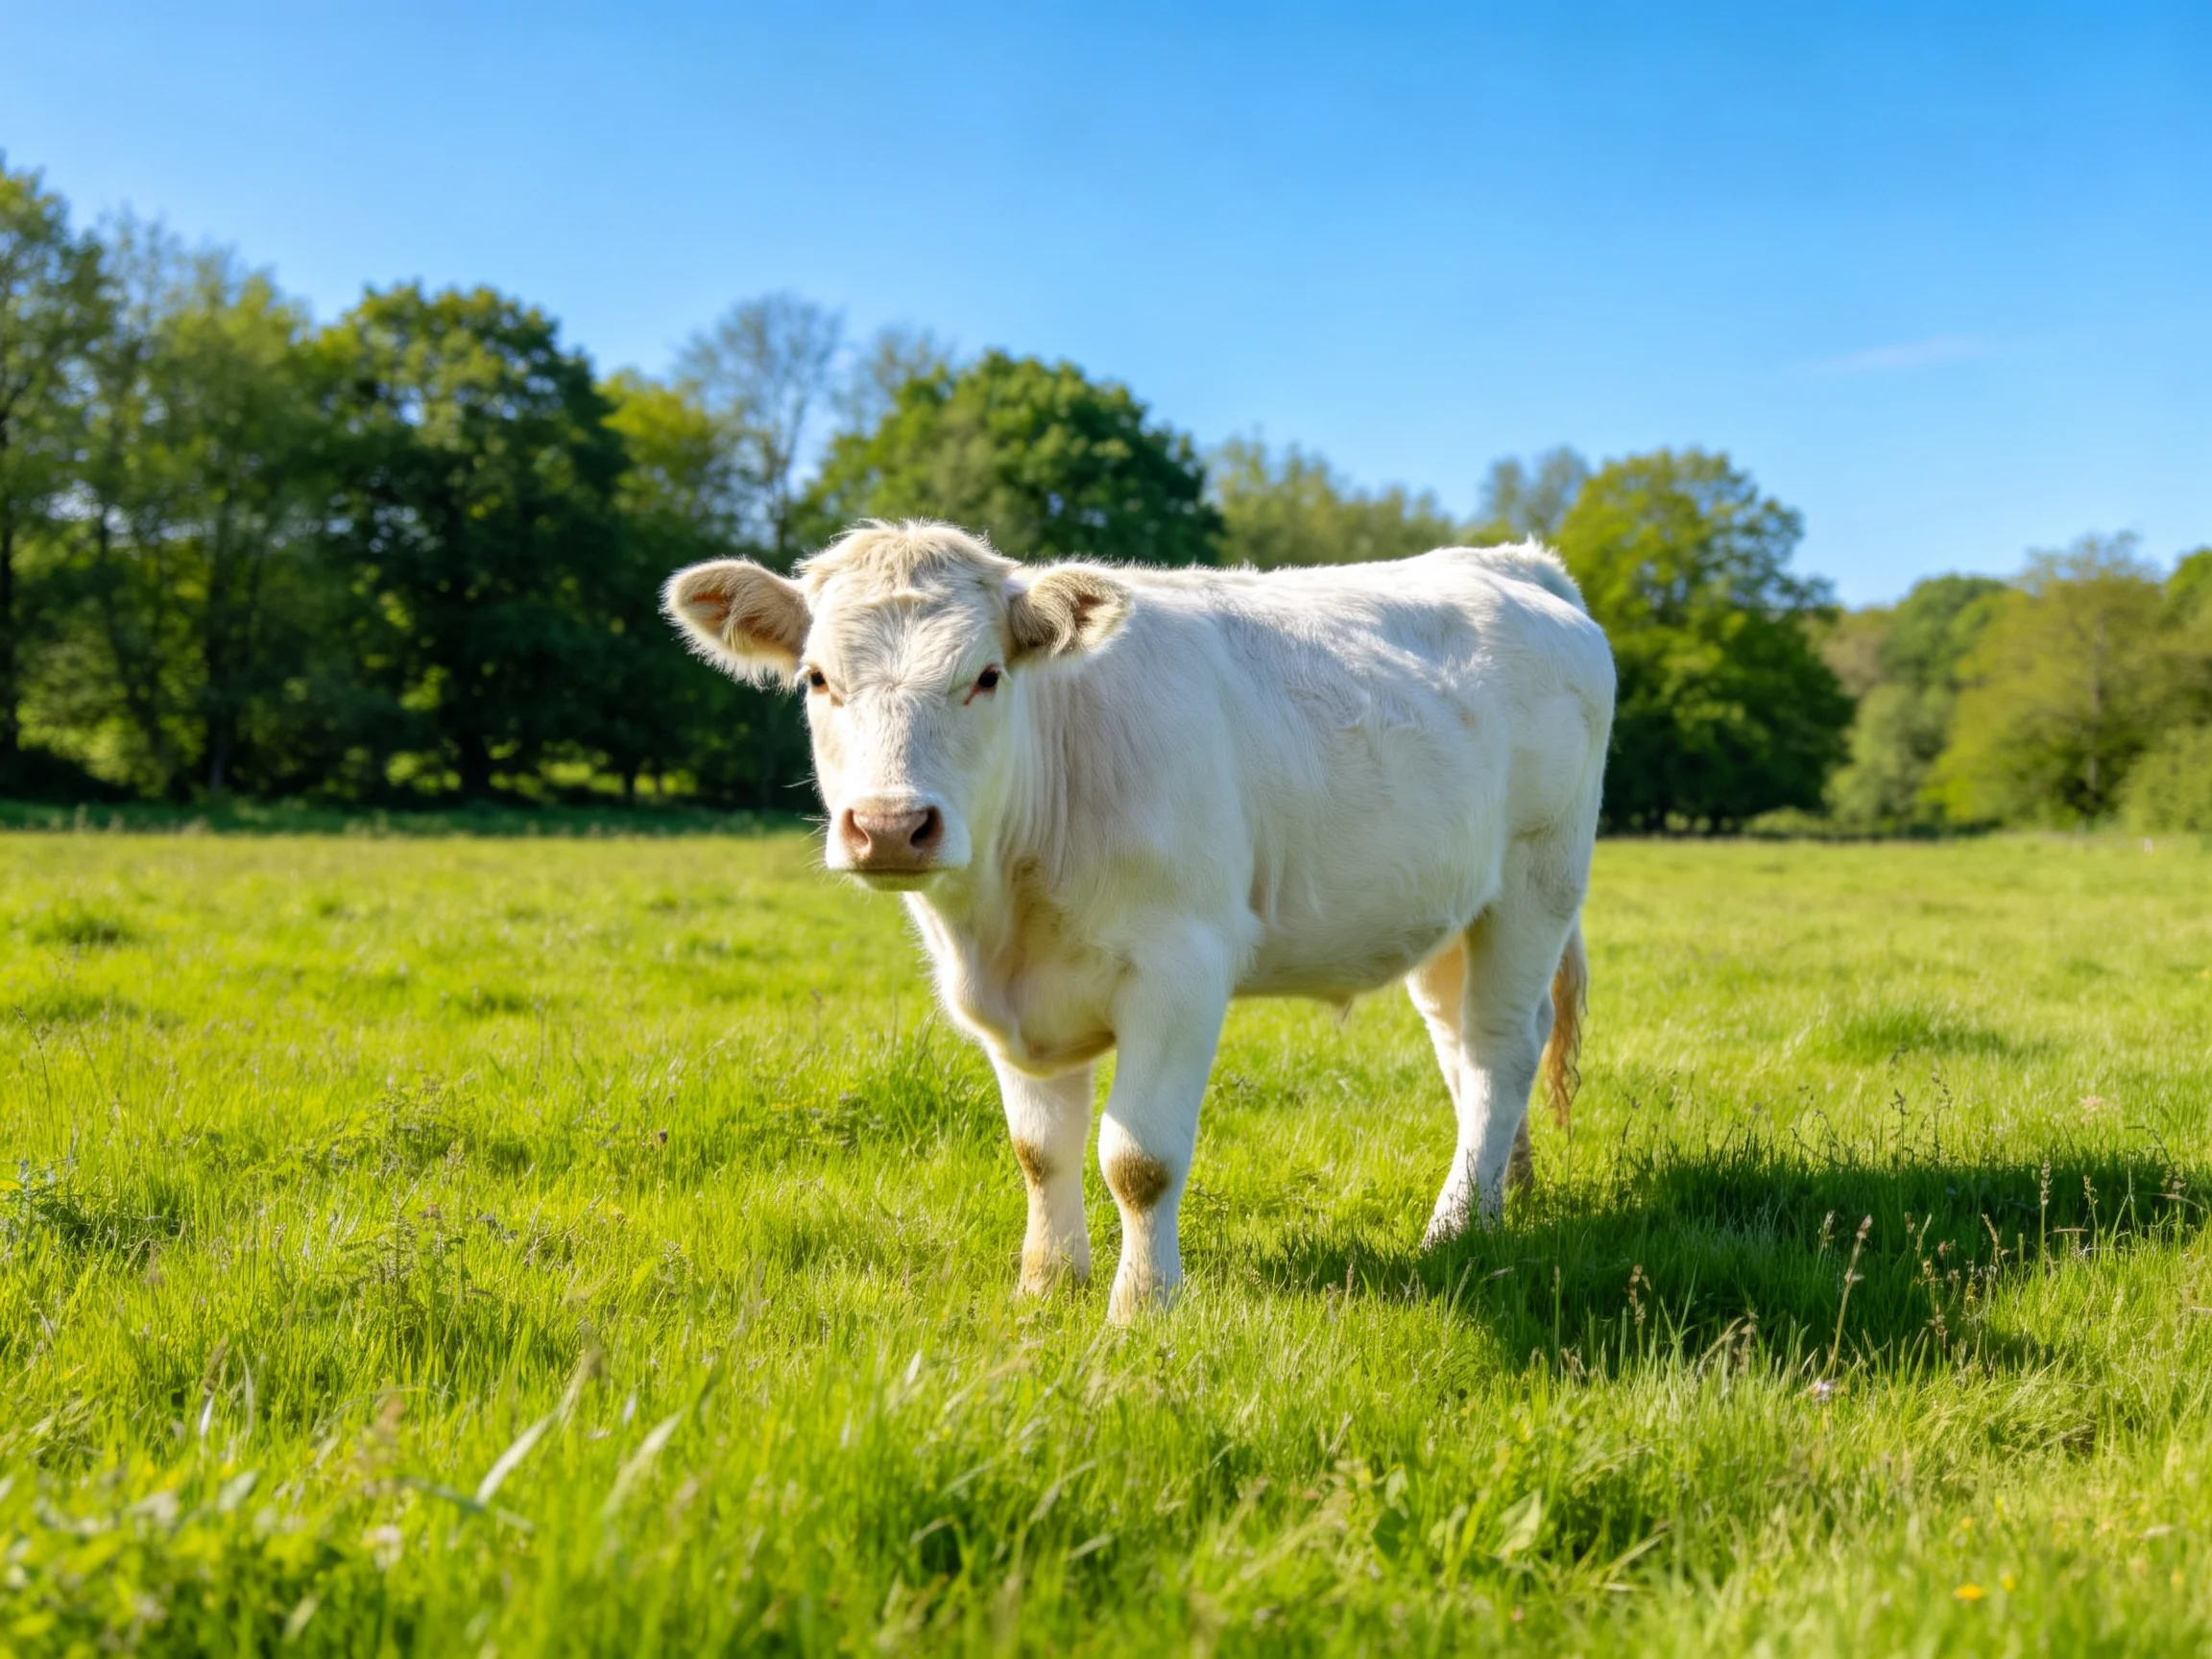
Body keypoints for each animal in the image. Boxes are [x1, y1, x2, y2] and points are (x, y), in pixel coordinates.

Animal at [663, 520, 1615, 1323]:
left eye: (987, 676)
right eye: (817, 679)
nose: (892, 825)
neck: (1003, 922)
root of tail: (1511, 560)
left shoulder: (1182, 972)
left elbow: (1139, 1159)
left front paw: (1142, 1307)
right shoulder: (1018, 1003)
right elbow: (1038, 1151)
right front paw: (1047, 1286)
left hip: (1538, 877)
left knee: (1500, 1047)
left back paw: (1456, 1226)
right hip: (1447, 908)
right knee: (1463, 1046)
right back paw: (1501, 1193)